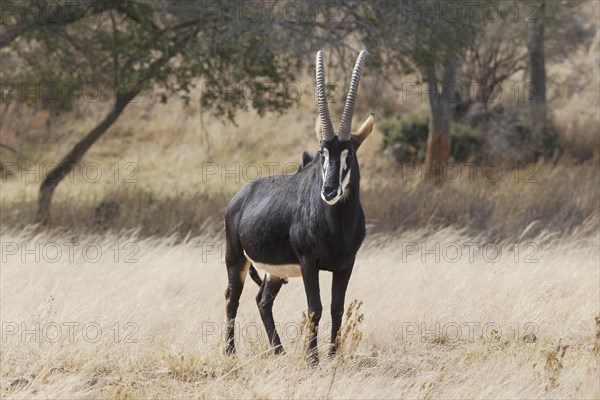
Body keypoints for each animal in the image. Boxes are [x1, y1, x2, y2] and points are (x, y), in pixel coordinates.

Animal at [225, 49, 376, 362]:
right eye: (322, 152)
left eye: (350, 153)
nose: (329, 191)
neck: (338, 225)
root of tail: (240, 197)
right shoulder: (309, 263)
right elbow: (314, 309)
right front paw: (313, 359)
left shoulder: (346, 264)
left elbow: (336, 308)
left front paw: (333, 356)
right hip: (235, 259)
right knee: (232, 298)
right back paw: (230, 351)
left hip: (275, 273)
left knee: (262, 301)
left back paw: (279, 351)